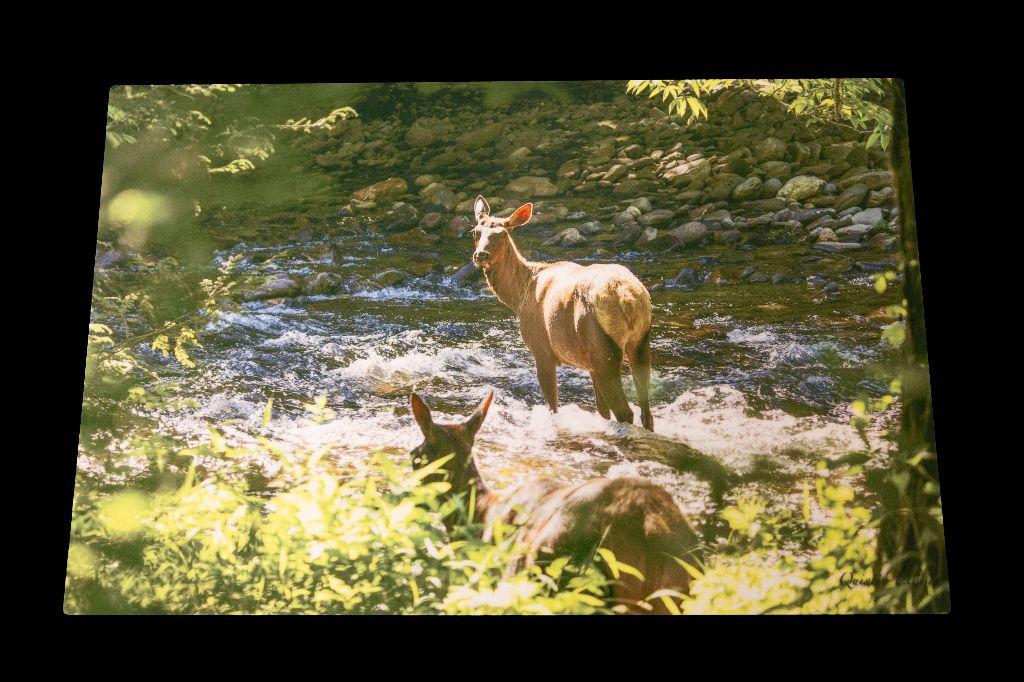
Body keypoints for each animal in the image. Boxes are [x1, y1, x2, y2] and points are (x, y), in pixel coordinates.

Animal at [470, 196, 655, 431]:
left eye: (502, 234)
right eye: (475, 232)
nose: (481, 255)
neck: (520, 295)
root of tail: (627, 298)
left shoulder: (542, 350)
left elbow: (553, 406)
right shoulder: (589, 365)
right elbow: (601, 410)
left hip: (602, 345)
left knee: (625, 411)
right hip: (640, 340)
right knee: (646, 412)